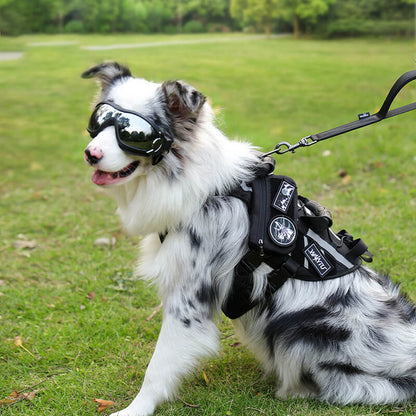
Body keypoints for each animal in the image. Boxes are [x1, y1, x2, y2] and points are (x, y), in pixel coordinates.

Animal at [83, 62, 416, 416]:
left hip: (299, 330)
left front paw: (136, 408)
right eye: (99, 121)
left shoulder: (188, 299)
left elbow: (157, 367)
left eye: (134, 134)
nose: (90, 154)